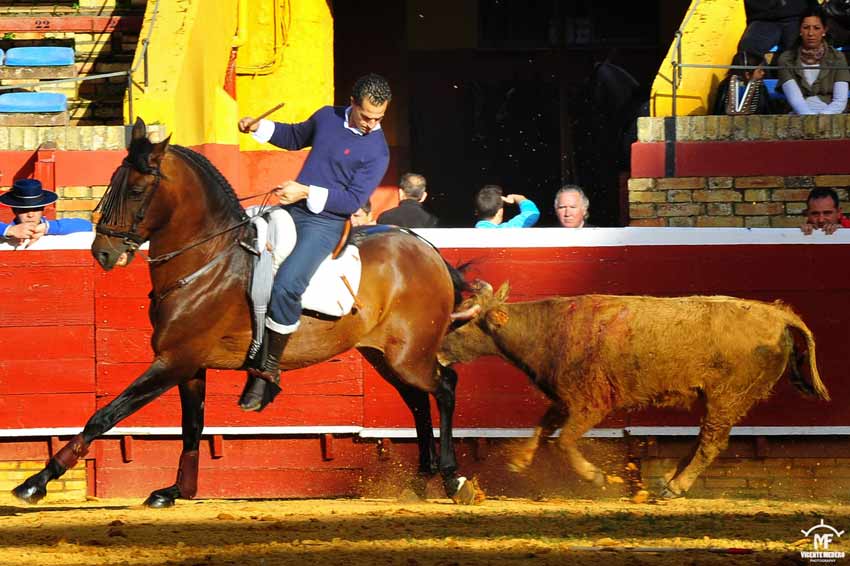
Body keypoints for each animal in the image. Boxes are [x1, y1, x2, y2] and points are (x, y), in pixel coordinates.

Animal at [11, 117, 484, 508]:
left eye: (137, 190)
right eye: (113, 182)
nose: (103, 253)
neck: (208, 259)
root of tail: (427, 249)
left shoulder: (172, 361)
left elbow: (105, 415)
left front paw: (36, 482)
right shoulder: (190, 367)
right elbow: (192, 427)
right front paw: (176, 491)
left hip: (409, 355)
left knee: (445, 387)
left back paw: (452, 477)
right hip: (386, 356)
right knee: (417, 400)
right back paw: (422, 477)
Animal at [438, 282, 828, 496]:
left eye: (465, 324)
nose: (438, 351)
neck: (548, 330)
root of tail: (779, 314)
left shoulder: (589, 403)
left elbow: (563, 440)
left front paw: (594, 476)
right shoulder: (565, 399)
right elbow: (542, 427)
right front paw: (519, 461)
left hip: (727, 398)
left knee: (711, 443)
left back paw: (676, 487)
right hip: (718, 400)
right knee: (703, 440)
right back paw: (668, 481)